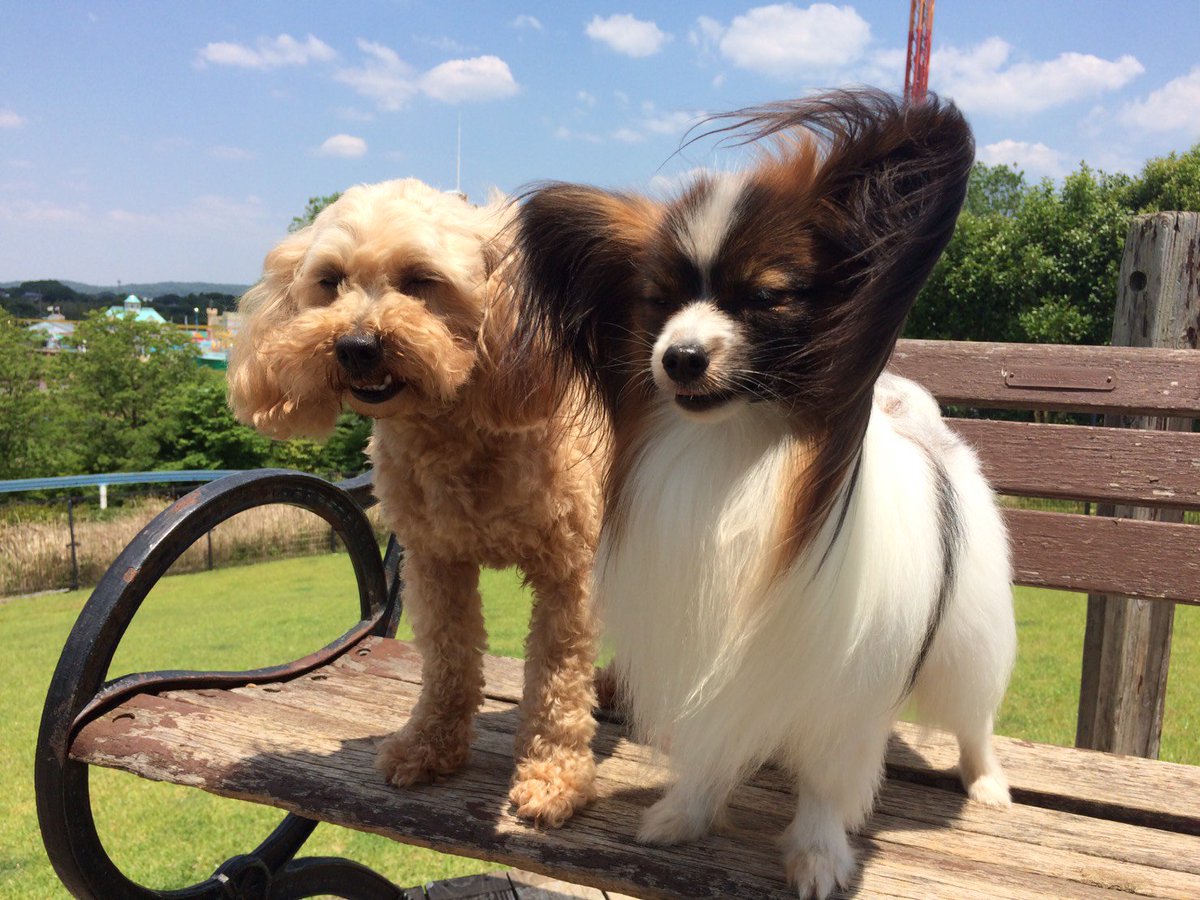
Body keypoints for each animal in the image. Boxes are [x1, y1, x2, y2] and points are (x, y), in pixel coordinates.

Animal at [511, 90, 1017, 897]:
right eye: (657, 302)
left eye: (765, 296)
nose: (680, 357)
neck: (736, 456)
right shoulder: (707, 660)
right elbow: (708, 753)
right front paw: (683, 816)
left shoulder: (844, 698)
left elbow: (827, 789)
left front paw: (817, 856)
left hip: (966, 638)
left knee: (973, 718)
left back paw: (987, 782)